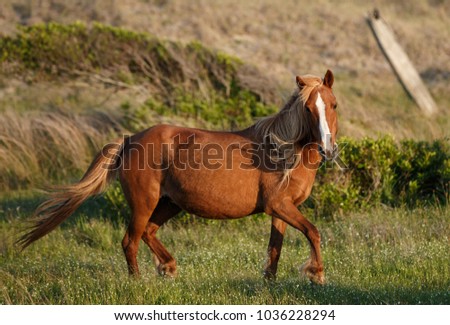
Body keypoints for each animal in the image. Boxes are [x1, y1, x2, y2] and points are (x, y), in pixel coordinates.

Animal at [19, 69, 340, 282]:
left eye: (333, 105)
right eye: (308, 108)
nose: (328, 149)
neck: (283, 151)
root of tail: (130, 140)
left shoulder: (281, 210)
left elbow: (275, 248)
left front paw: (269, 282)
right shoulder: (279, 205)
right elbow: (313, 231)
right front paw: (317, 275)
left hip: (170, 203)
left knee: (147, 233)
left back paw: (168, 267)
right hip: (144, 203)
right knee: (130, 240)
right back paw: (138, 282)